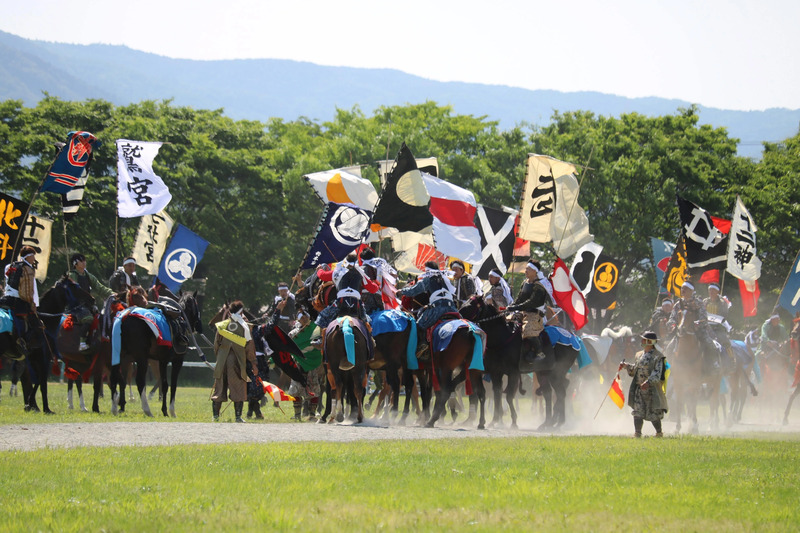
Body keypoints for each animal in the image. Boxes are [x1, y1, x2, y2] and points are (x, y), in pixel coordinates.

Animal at [458, 296, 522, 428]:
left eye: (470, 305)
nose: (458, 315)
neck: (502, 339)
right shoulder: (496, 373)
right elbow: (496, 394)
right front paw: (494, 420)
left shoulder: (513, 373)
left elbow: (508, 396)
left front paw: (513, 421)